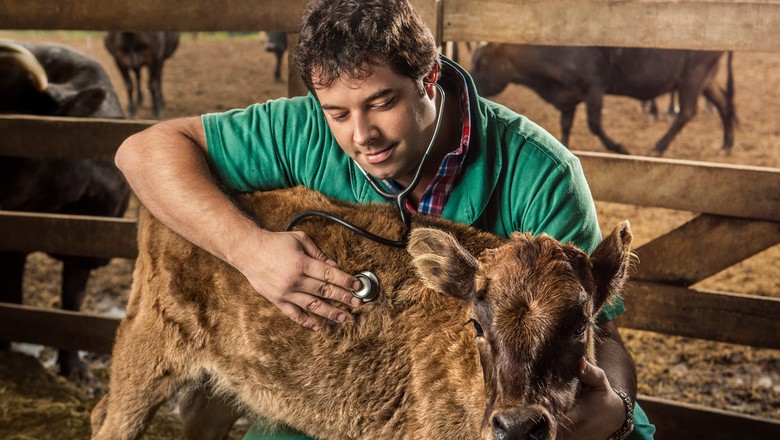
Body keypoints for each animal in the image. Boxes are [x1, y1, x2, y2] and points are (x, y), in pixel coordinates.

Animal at [472, 43, 736, 156]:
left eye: (482, 63)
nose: (472, 81)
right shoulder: (569, 98)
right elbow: (565, 126)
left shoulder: (595, 88)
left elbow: (594, 124)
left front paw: (618, 147)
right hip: (705, 80)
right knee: (723, 103)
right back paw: (727, 143)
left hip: (692, 78)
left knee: (687, 112)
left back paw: (659, 146)